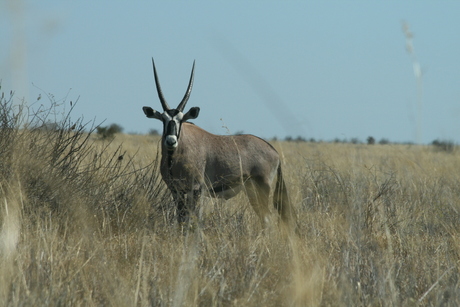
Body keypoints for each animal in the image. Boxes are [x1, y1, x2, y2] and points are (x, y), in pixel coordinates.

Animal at [142, 59, 292, 229]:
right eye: (163, 119)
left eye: (181, 120)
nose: (171, 141)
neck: (175, 157)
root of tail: (273, 151)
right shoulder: (176, 190)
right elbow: (181, 220)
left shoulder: (196, 190)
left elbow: (193, 221)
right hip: (251, 190)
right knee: (264, 218)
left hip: (262, 188)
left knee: (267, 218)